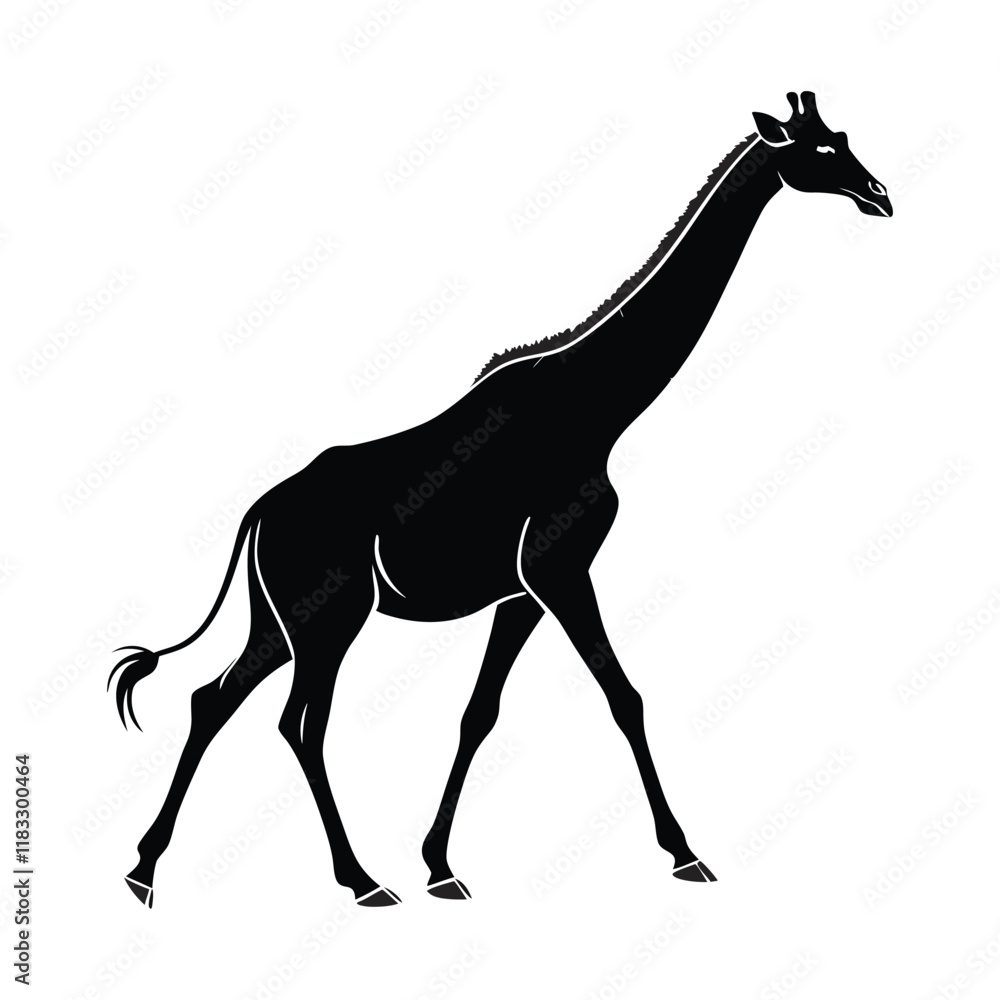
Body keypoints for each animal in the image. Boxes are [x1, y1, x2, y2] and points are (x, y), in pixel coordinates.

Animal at [109, 92, 892, 908]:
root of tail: (258, 513)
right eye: (822, 151)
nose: (880, 196)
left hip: (281, 617)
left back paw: (144, 870)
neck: (596, 408)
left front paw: (440, 865)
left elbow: (478, 714)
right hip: (331, 616)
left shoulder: (520, 592)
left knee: (213, 699)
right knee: (298, 723)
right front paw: (685, 853)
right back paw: (358, 880)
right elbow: (625, 696)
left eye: (843, 137)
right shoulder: (560, 567)